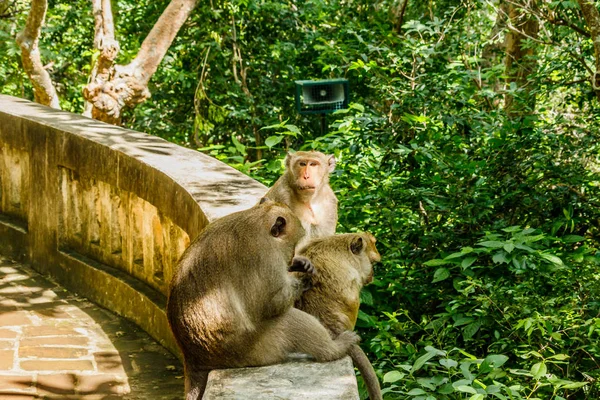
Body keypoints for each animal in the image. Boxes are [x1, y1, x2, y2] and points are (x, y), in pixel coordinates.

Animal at [166, 198, 358, 398]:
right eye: (293, 244)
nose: (291, 257)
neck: (257, 221)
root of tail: (194, 357)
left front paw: (300, 264)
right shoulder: (265, 258)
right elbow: (271, 304)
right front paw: (302, 279)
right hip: (252, 350)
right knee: (289, 320)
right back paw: (334, 349)